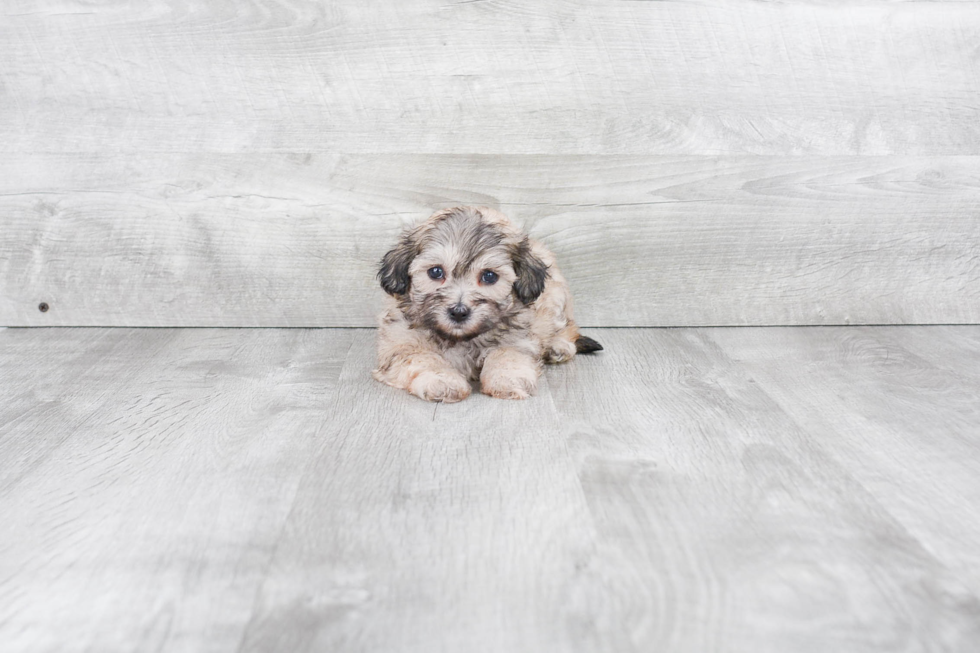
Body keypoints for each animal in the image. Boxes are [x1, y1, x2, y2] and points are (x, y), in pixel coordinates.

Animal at [372, 208, 600, 402]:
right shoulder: (400, 345)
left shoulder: (518, 336)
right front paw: (442, 380)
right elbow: (422, 359)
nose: (458, 312)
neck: (460, 338)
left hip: (556, 297)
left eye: (489, 276)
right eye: (435, 272)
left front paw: (507, 378)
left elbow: (507, 354)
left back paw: (558, 346)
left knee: (568, 327)